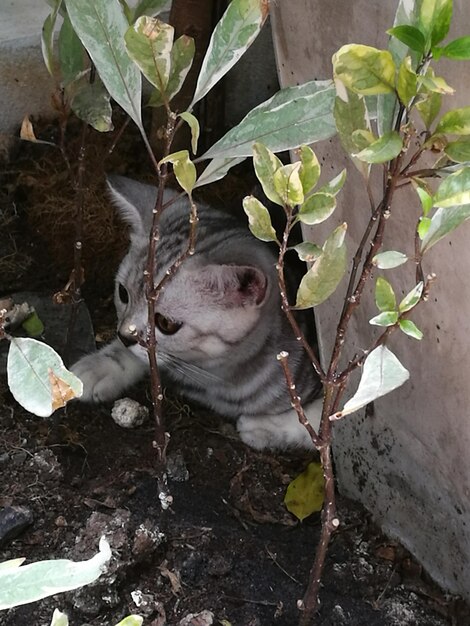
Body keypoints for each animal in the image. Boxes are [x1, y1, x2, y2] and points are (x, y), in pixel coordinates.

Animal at [73, 176, 324, 448]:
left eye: (165, 323)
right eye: (123, 294)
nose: (124, 335)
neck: (211, 377)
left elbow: (320, 422)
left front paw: (266, 427)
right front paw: (101, 364)